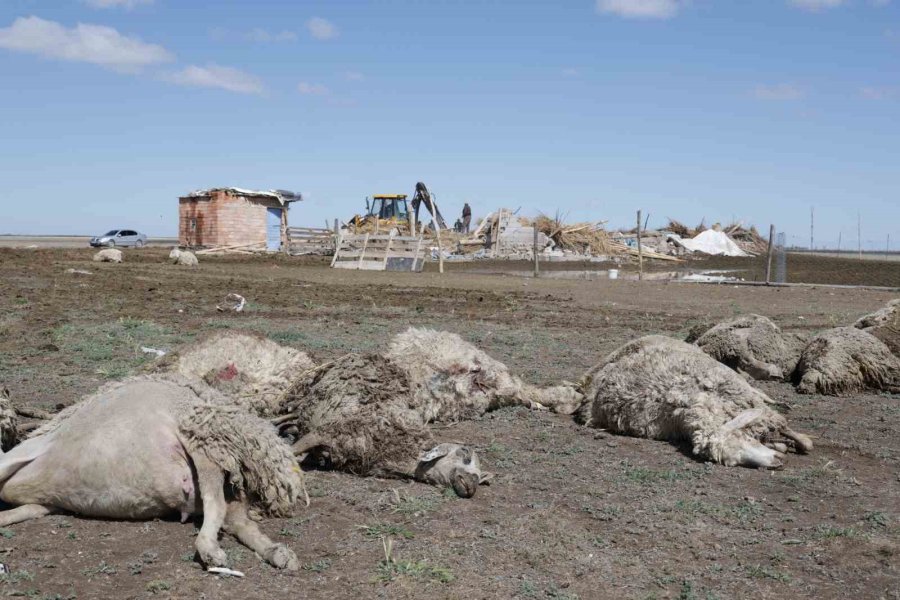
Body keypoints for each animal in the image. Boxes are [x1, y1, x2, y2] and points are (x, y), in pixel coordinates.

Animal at [282, 354, 492, 500]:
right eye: (464, 453)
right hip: (305, 396)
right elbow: (294, 450)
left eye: (479, 476)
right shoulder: (328, 432)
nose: (471, 485)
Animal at [580, 338, 812, 468]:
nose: (777, 463)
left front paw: (794, 441)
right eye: (732, 461)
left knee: (762, 394)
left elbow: (798, 436)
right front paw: (780, 445)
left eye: (743, 438)